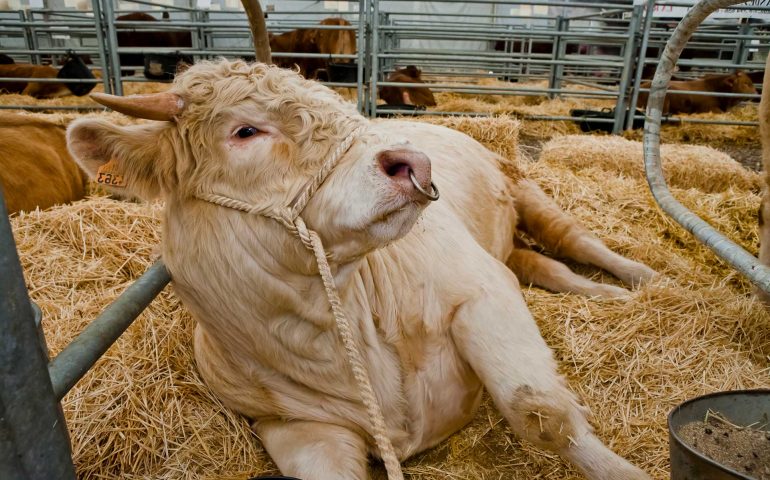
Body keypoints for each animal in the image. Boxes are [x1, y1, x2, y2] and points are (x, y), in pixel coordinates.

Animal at [67, 60, 656, 480]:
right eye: (245, 131)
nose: (414, 162)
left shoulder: (482, 289)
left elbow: (541, 414)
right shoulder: (292, 426)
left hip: (525, 188)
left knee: (575, 241)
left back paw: (640, 285)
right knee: (543, 264)